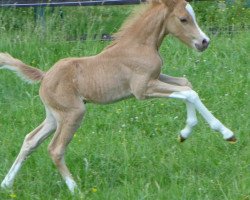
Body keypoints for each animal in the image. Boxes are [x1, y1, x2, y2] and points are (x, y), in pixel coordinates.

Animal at [0, 0, 234, 194]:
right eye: (183, 19)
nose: (204, 42)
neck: (139, 45)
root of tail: (45, 76)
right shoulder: (142, 89)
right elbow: (190, 93)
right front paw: (226, 133)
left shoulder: (156, 78)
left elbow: (186, 84)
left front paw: (185, 133)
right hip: (73, 113)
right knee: (55, 149)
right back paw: (75, 189)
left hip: (53, 116)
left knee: (30, 140)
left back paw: (6, 184)